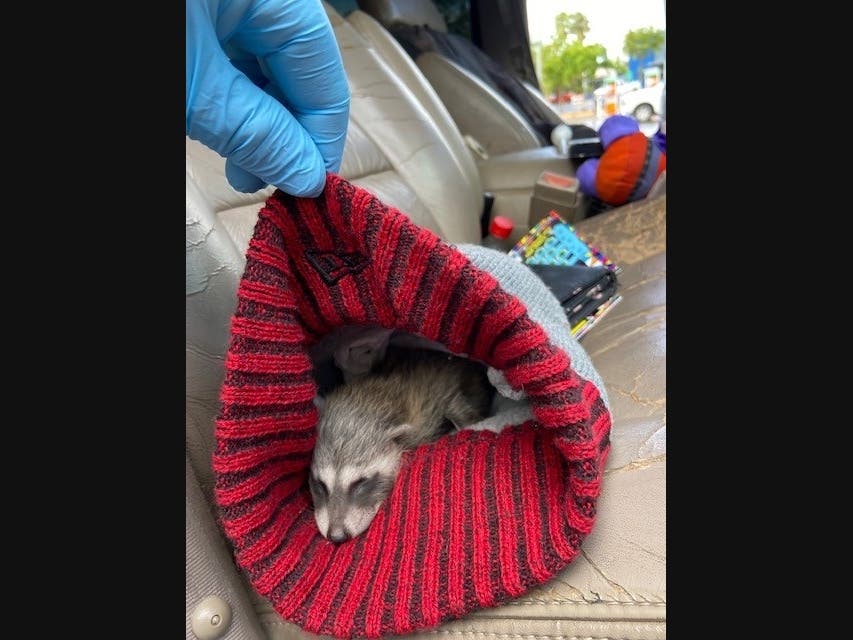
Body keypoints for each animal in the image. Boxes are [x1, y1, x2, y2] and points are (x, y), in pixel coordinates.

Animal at [309, 346, 494, 542]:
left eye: (360, 481)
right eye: (320, 484)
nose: (336, 537)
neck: (377, 395)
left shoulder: (432, 396)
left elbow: (455, 404)